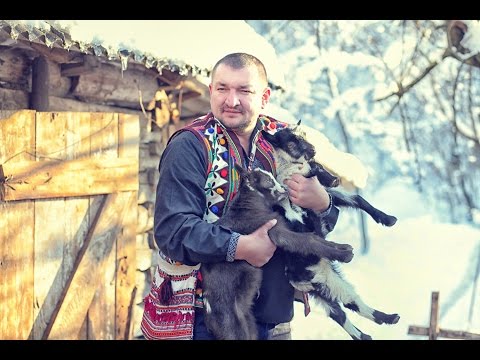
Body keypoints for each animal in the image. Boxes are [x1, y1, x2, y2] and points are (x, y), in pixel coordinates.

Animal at [201, 165, 354, 338]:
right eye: (269, 181)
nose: (284, 188)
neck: (249, 205)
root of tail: (209, 318)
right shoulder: (277, 233)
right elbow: (308, 241)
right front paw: (345, 255)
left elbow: (313, 237)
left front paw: (343, 248)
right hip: (233, 327)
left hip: (249, 323)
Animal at [262, 126, 402, 340]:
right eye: (291, 142)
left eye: (304, 135)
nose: (313, 150)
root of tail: (302, 281)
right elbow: (293, 212)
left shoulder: (323, 194)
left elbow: (356, 199)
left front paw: (388, 219)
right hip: (326, 285)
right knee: (345, 309)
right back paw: (383, 323)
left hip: (328, 284)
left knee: (347, 308)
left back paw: (382, 323)